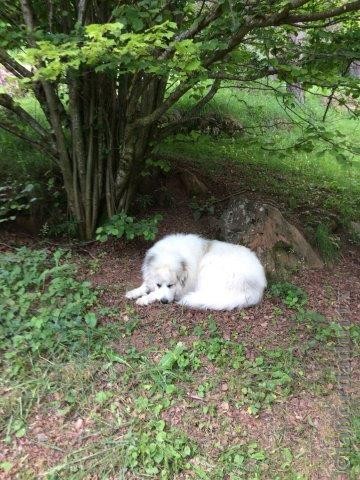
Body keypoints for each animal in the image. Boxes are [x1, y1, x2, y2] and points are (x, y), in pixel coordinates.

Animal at [125, 233, 266, 312]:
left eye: (171, 285)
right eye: (158, 284)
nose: (164, 301)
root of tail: (256, 288)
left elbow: (154, 293)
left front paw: (144, 299)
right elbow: (146, 285)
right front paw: (133, 292)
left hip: (209, 265)